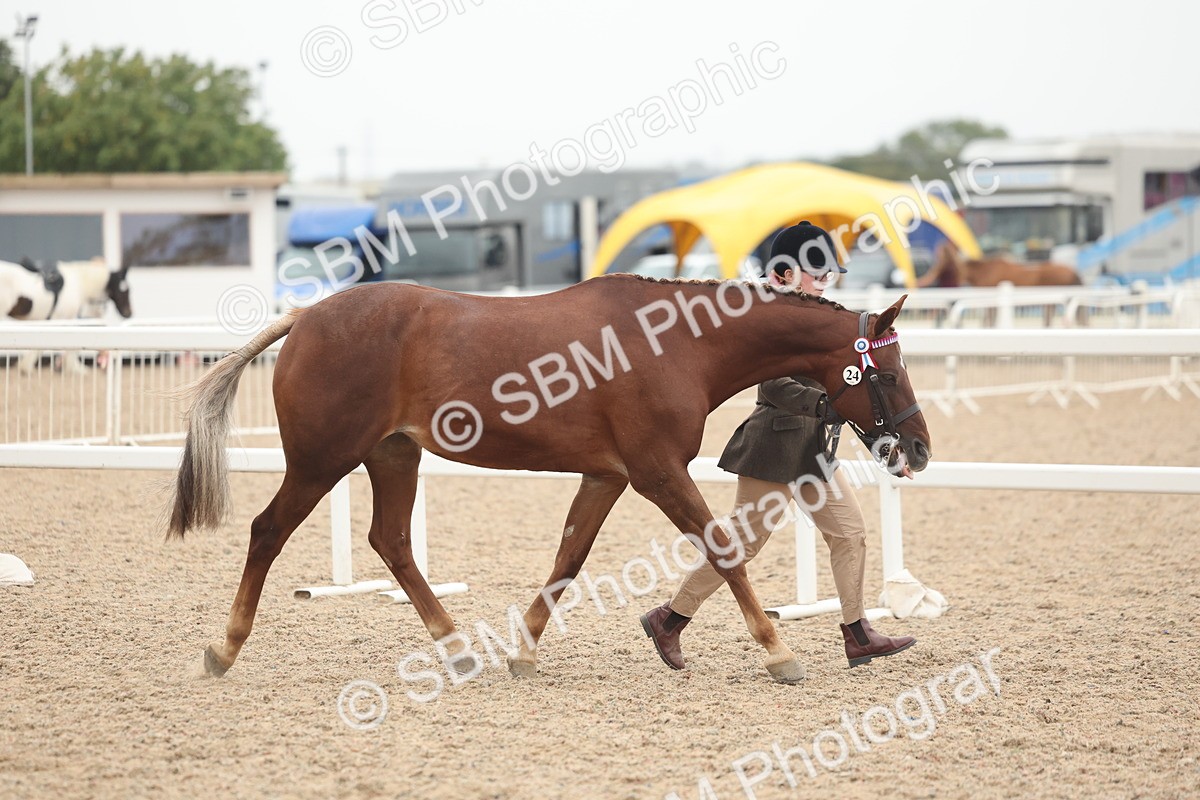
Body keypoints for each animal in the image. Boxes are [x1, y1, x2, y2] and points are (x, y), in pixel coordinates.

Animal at [167, 274, 932, 684]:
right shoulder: (657, 472)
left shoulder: (607, 476)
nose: (919, 449)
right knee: (268, 531)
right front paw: (780, 653)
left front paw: (524, 654)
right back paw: (222, 649)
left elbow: (568, 558)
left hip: (392, 455)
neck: (674, 345)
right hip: (322, 459)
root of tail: (306, 317)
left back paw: (458, 650)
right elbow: (721, 550)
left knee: (392, 542)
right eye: (890, 372)